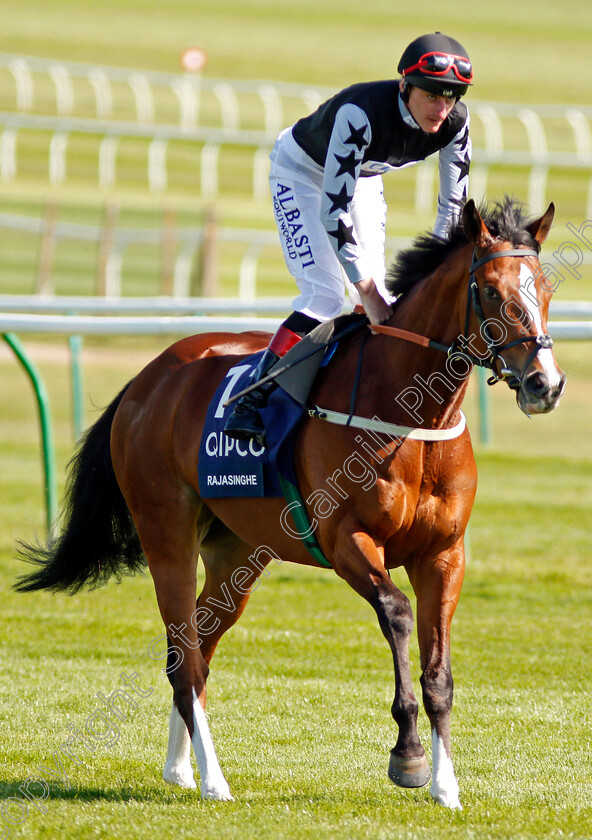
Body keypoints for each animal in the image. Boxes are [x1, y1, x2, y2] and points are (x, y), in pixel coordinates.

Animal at [17, 197, 564, 808]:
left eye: (544, 288)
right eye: (491, 291)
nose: (545, 384)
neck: (412, 414)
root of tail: (148, 378)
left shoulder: (445, 554)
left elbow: (439, 672)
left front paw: (447, 787)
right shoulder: (347, 539)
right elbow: (397, 613)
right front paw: (408, 755)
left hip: (236, 553)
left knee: (195, 649)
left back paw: (180, 768)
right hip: (166, 532)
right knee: (185, 657)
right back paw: (213, 780)